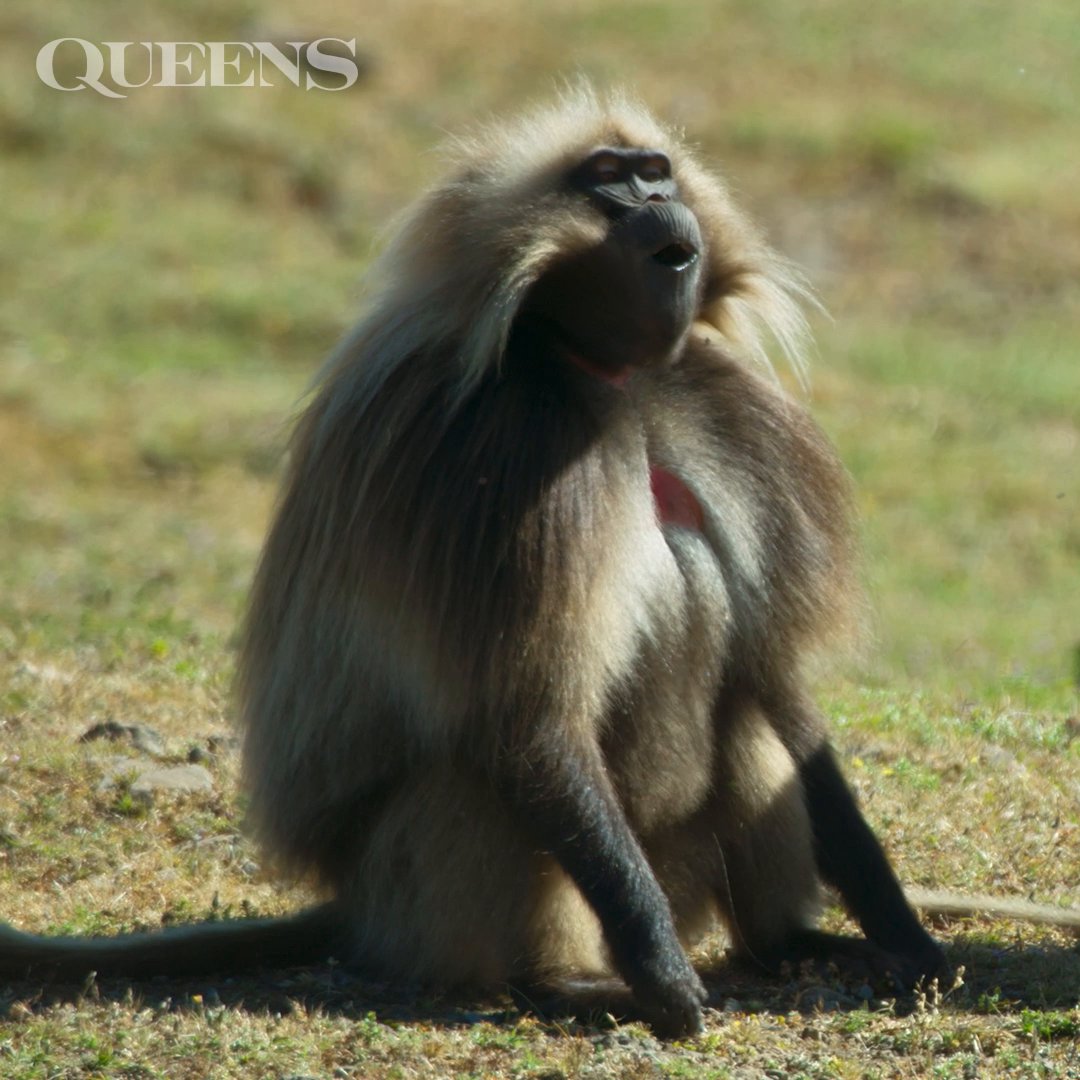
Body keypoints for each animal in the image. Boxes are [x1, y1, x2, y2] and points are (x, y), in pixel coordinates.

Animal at [1, 88, 1076, 1037]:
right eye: (608, 180)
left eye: (656, 168)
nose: (661, 202)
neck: (609, 378)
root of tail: (356, 908)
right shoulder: (495, 458)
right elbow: (527, 715)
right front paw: (666, 984)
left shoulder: (726, 428)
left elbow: (777, 685)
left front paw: (904, 936)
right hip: (428, 885)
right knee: (482, 763)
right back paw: (570, 983)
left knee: (745, 723)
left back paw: (791, 947)